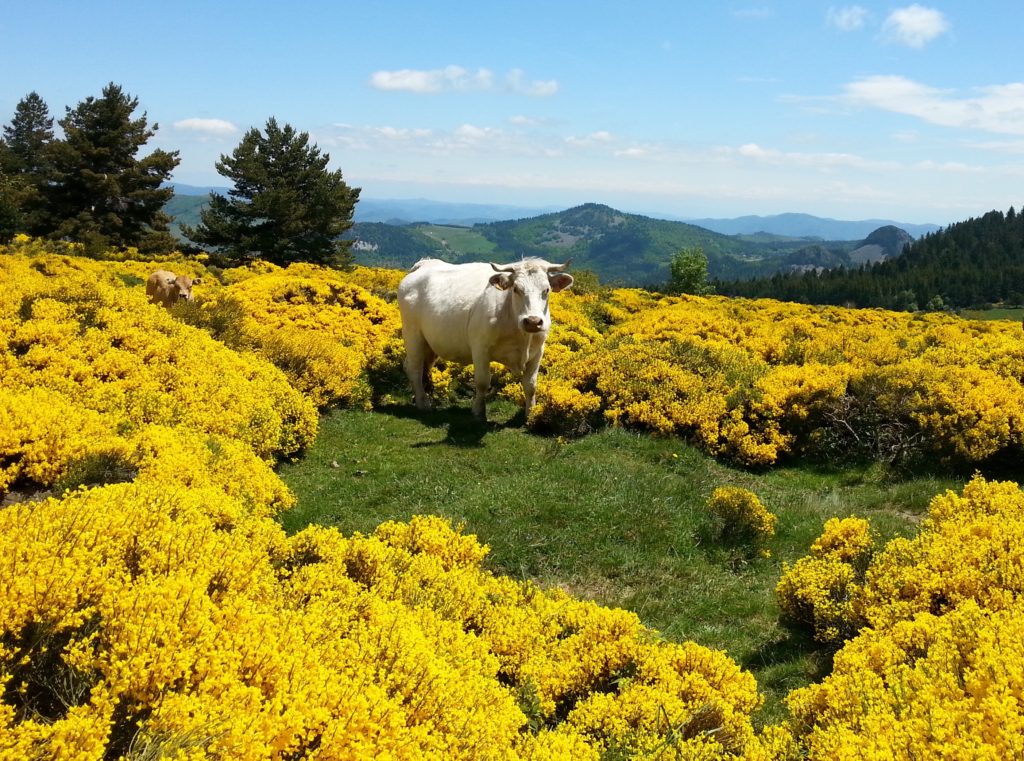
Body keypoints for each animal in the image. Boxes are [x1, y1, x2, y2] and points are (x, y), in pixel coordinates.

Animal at [397, 259, 573, 419]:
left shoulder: (537, 352)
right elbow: (482, 382)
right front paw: (478, 412)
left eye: (547, 289)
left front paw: (530, 414)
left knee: (424, 368)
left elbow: (531, 385)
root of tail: (424, 264)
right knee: (414, 368)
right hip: (413, 334)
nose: (533, 321)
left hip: (429, 343)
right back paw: (423, 403)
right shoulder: (480, 348)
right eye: (516, 289)